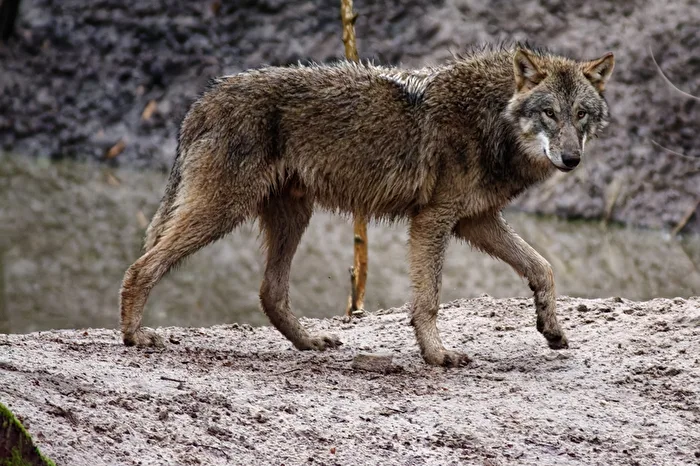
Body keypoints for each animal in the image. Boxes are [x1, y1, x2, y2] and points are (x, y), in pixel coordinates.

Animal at [119, 44, 614, 367]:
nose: (572, 158)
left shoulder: (475, 220)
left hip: (292, 215)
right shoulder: (433, 219)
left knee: (270, 292)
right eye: (549, 113)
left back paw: (309, 344)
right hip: (224, 211)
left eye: (581, 115)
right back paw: (133, 336)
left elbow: (542, 268)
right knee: (140, 267)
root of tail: (202, 100)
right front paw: (437, 355)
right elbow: (428, 300)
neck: (491, 117)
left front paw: (551, 328)